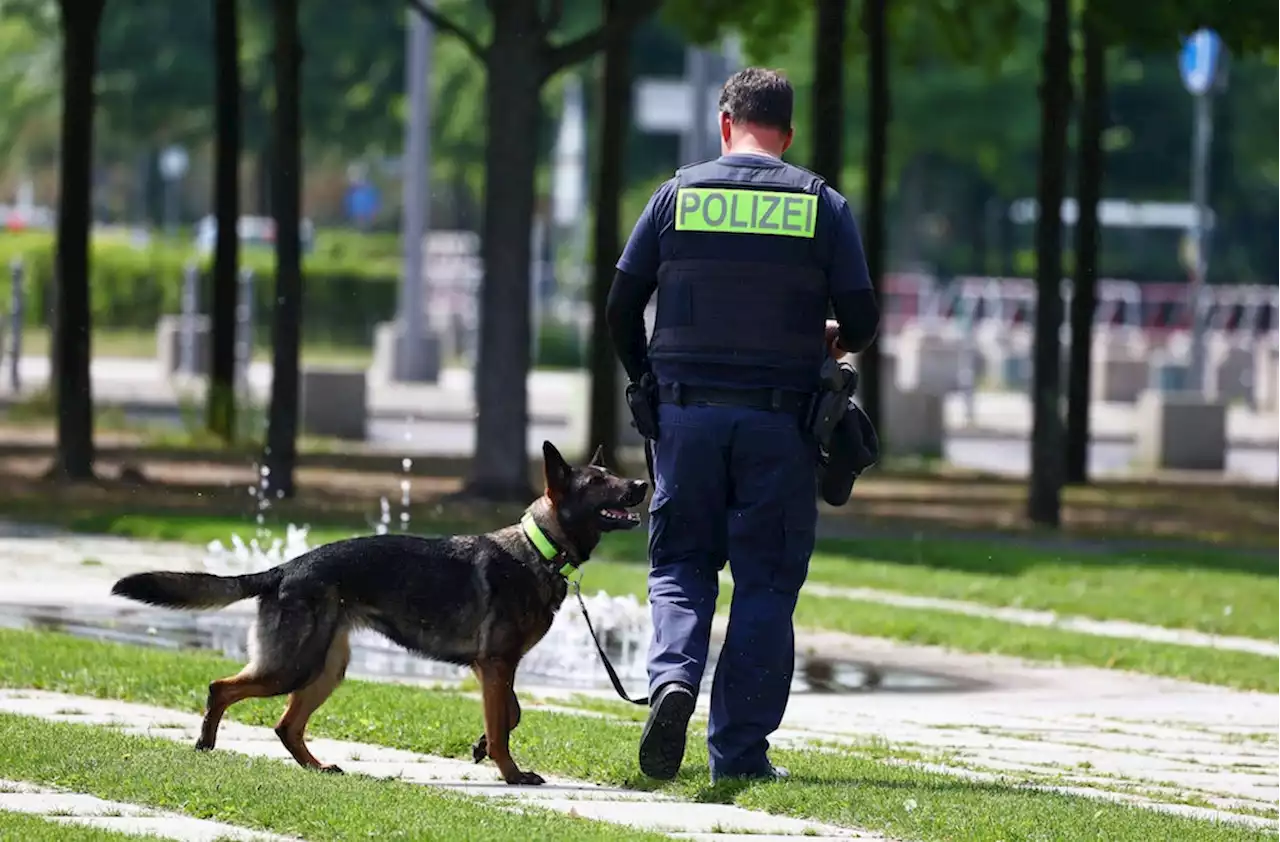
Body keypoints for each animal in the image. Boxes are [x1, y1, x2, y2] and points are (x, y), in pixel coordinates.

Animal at [108, 442, 645, 783]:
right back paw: (207, 744)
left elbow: (509, 713)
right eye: (599, 481)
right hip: (294, 666)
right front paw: (510, 774)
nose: (641, 482)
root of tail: (284, 568)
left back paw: (317, 767)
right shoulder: (496, 664)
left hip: (326, 669)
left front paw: (480, 747)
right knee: (222, 688)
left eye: (615, 476)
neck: (538, 547)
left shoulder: (492, 668)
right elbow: (503, 725)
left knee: (285, 726)